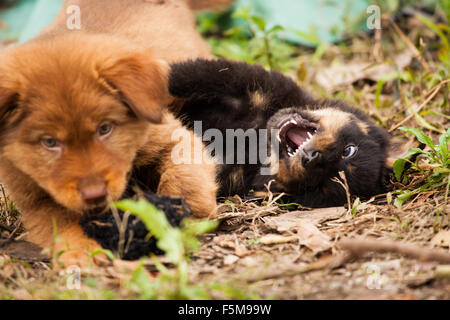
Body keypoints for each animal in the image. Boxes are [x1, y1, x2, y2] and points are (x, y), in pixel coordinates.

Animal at [0, 0, 225, 268]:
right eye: (49, 142)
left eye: (105, 129)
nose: (95, 194)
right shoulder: (35, 201)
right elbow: (60, 225)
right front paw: (80, 252)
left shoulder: (173, 137)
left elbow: (183, 179)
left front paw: (182, 217)